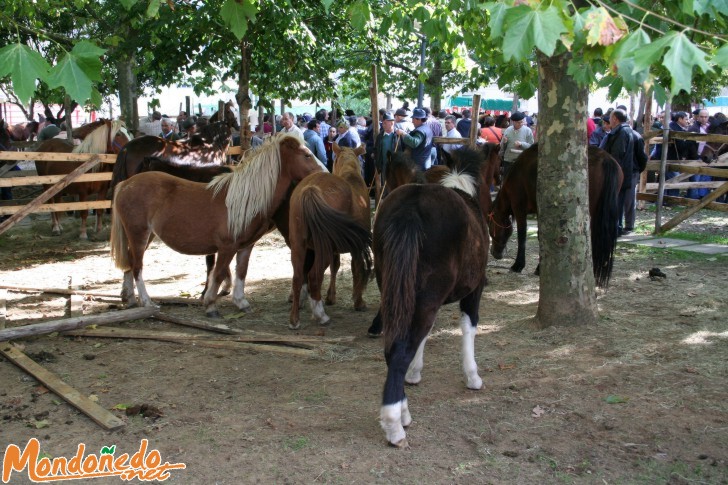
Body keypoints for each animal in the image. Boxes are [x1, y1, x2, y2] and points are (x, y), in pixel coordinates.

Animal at [111, 132, 322, 316]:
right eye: (307, 155)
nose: (323, 175)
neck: (245, 198)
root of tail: (126, 184)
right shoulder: (227, 247)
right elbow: (219, 273)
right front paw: (210, 304)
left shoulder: (245, 246)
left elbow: (241, 272)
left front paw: (241, 302)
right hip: (139, 233)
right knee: (137, 266)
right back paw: (146, 301)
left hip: (146, 235)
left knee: (130, 261)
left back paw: (130, 298)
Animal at [288, 142, 372, 328]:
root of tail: (311, 188)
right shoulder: (356, 247)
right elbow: (356, 269)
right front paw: (359, 302)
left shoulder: (334, 250)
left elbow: (335, 268)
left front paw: (329, 297)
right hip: (323, 249)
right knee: (313, 275)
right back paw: (321, 316)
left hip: (299, 245)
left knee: (298, 278)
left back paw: (295, 319)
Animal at [376, 145, 490, 446]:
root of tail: (412, 207)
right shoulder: (475, 289)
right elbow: (469, 327)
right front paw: (472, 376)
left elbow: (424, 336)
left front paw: (415, 372)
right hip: (427, 298)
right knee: (400, 350)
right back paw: (394, 423)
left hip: (395, 293)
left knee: (394, 348)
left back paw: (401, 409)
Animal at [486, 144, 624, 288]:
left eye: (490, 225)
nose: (494, 253)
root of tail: (606, 159)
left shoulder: (519, 209)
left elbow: (522, 236)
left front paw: (519, 265)